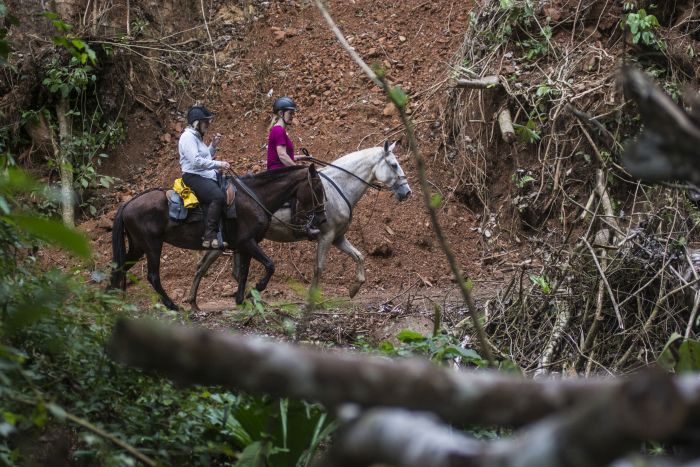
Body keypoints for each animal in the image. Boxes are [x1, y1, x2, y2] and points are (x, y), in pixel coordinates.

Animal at [108, 166, 326, 308]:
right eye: (317, 189)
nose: (321, 219)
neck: (255, 198)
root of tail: (128, 204)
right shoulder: (247, 242)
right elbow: (269, 265)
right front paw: (256, 289)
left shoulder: (245, 245)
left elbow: (244, 272)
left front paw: (241, 299)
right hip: (152, 245)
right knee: (153, 276)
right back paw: (172, 305)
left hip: (138, 246)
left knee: (120, 266)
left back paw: (113, 297)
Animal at [189, 143, 412, 310]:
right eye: (394, 165)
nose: (407, 192)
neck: (337, 189)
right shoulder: (327, 237)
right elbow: (319, 268)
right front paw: (312, 301)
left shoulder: (338, 238)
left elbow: (359, 256)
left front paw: (354, 288)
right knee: (204, 266)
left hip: (238, 241)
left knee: (226, 269)